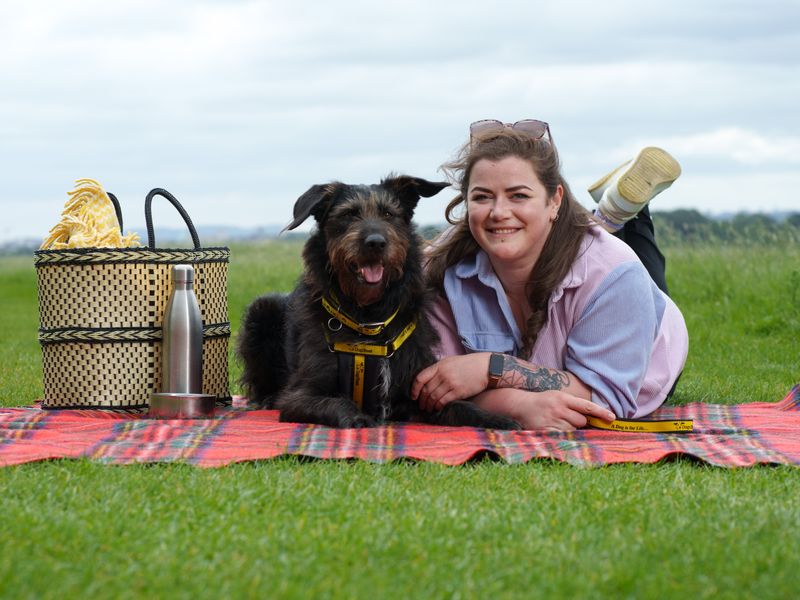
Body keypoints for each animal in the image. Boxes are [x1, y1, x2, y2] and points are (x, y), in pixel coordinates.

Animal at [234, 175, 520, 432]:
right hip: (262, 309)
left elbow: (459, 406)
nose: (376, 243)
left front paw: (496, 419)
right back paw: (266, 398)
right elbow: (334, 402)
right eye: (348, 214)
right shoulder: (300, 396)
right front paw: (356, 417)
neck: (368, 317)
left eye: (389, 214)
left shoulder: (417, 392)